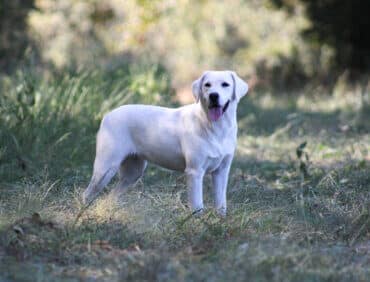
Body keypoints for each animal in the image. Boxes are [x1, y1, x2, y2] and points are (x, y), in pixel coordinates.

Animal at [82, 71, 247, 216]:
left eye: (225, 84)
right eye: (207, 85)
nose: (213, 95)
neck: (216, 127)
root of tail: (108, 115)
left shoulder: (222, 171)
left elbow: (221, 203)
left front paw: (220, 221)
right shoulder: (194, 172)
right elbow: (197, 205)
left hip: (133, 173)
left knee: (111, 196)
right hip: (105, 168)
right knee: (88, 194)